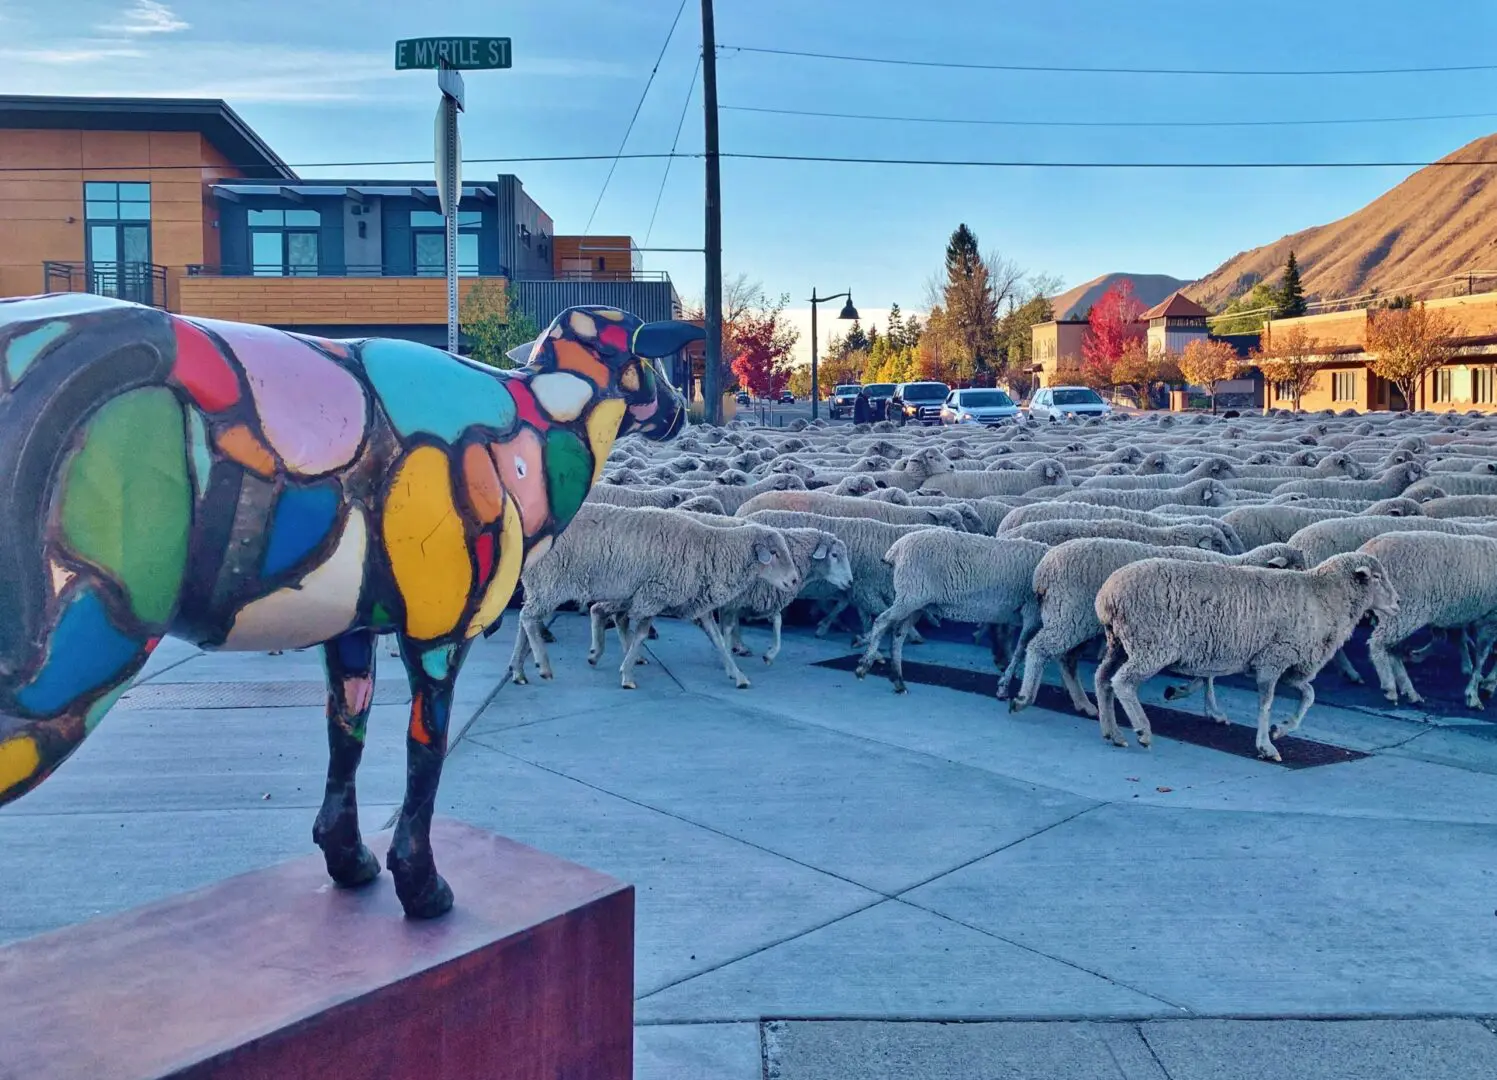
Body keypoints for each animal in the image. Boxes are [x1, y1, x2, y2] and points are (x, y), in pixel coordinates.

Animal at [511, 506, 802, 692]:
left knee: (529, 620)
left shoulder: (696, 603)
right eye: (774, 553)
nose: (794, 581)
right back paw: (543, 666)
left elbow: (718, 641)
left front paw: (738, 676)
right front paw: (627, 675)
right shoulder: (653, 594)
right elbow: (640, 635)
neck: (710, 551)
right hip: (550, 582)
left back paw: (519, 670)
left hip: (547, 586)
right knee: (528, 618)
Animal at [856, 527, 1053, 695]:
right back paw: (864, 666)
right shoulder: (1032, 613)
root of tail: (897, 549)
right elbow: (1020, 650)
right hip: (910, 596)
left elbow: (1010, 641)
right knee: (881, 622)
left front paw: (1002, 664)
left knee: (898, 634)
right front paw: (1004, 684)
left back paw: (898, 680)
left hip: (917, 603)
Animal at [1365, 530, 1497, 707]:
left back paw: (1410, 691)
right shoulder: (1490, 619)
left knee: (1392, 649)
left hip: (1396, 616)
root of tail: (1368, 549)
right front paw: (1474, 694)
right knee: (1378, 644)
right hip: (1401, 611)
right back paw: (1390, 687)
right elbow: (1481, 657)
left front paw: (1488, 684)